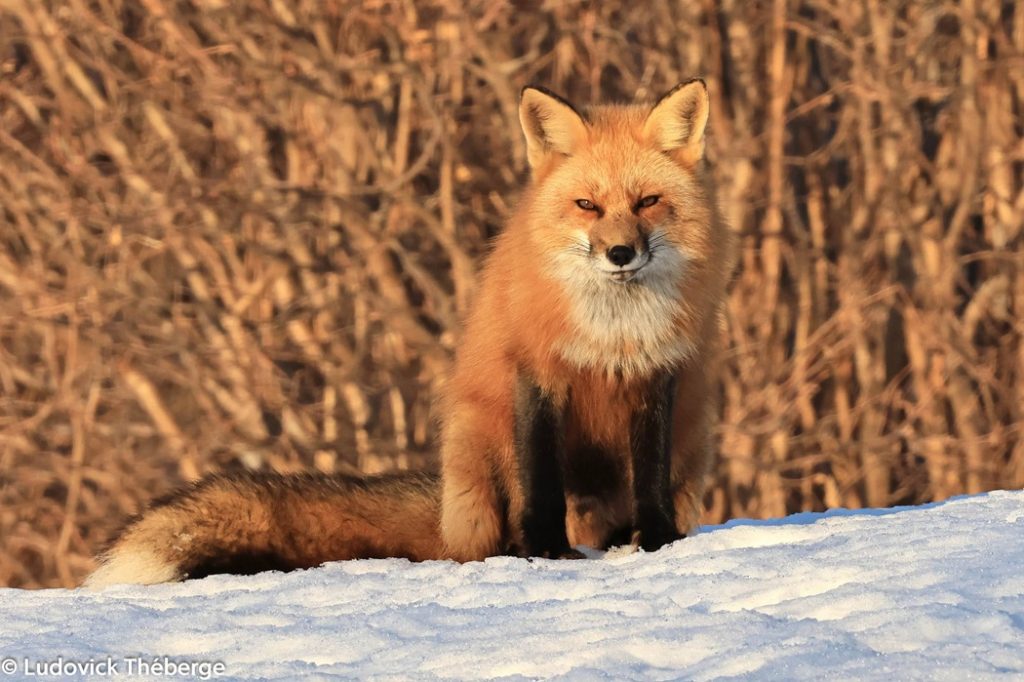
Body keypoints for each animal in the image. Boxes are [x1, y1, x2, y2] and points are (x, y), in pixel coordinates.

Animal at [439, 80, 735, 562]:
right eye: (587, 205)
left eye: (647, 202)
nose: (620, 253)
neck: (613, 335)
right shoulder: (538, 369)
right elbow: (542, 478)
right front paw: (546, 548)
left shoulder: (655, 375)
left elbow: (650, 473)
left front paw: (655, 541)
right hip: (476, 445)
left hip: (693, 436)